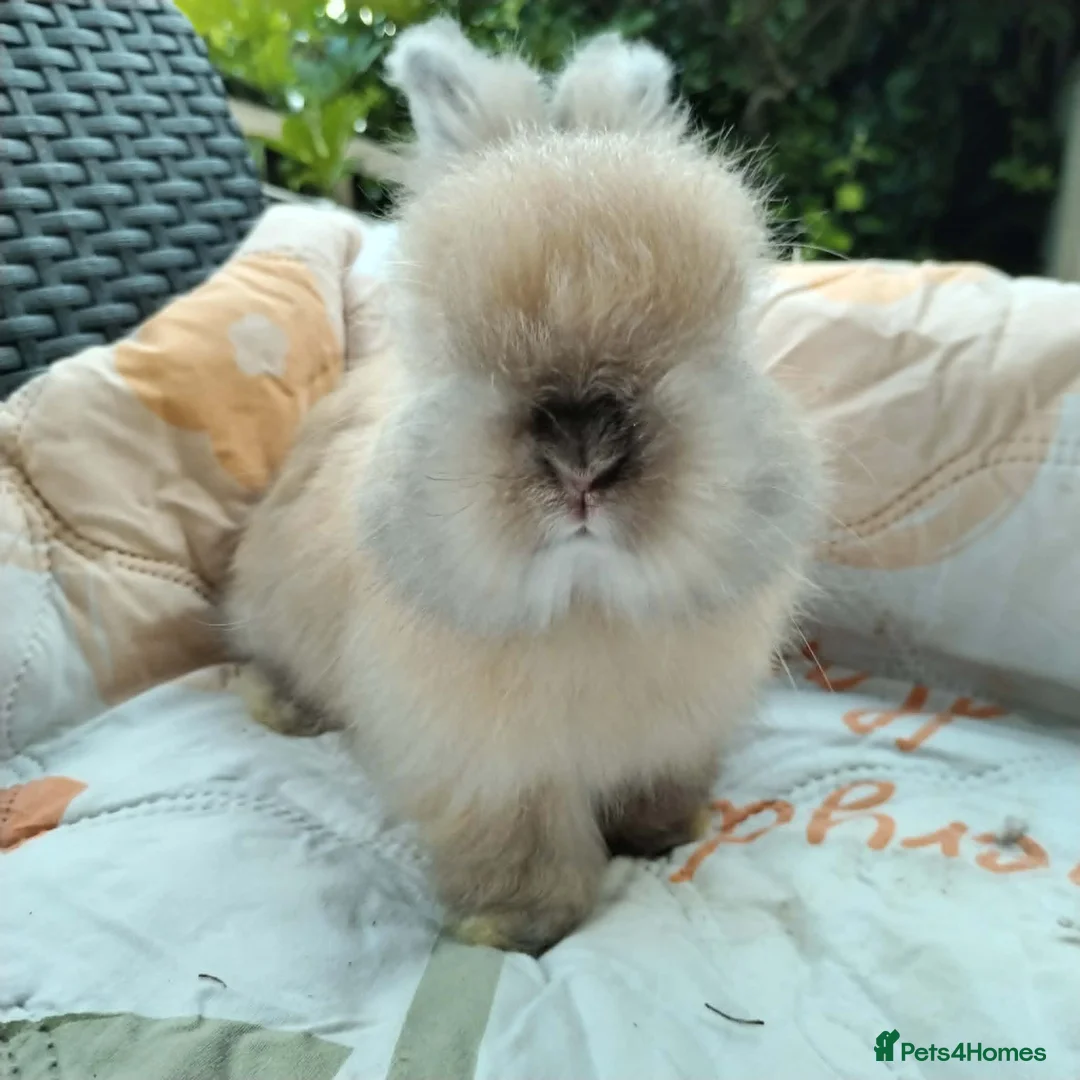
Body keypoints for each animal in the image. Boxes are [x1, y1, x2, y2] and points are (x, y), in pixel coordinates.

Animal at [223, 18, 826, 955]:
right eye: (444, 338)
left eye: (722, 327)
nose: (584, 462)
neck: (588, 606)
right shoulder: (492, 772)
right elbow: (523, 848)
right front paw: (510, 932)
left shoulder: (675, 733)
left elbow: (657, 790)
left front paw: (662, 834)